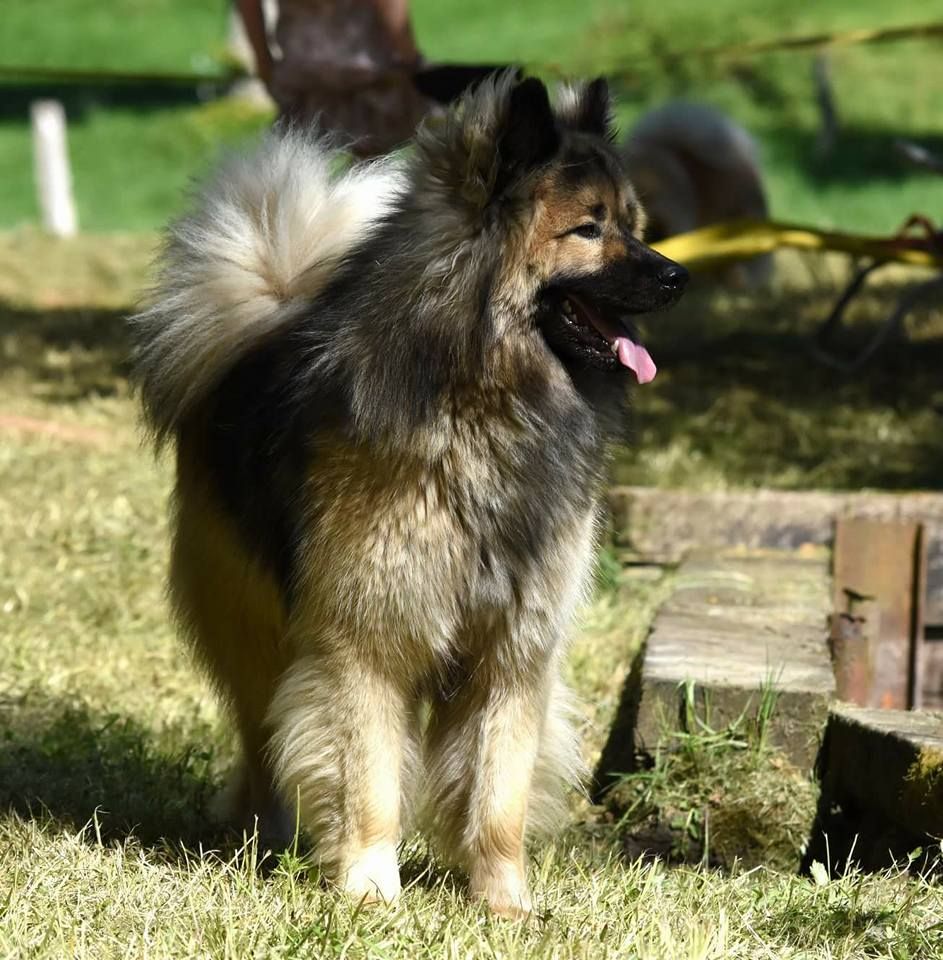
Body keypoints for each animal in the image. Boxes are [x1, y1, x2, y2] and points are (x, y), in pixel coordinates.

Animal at [129, 73, 684, 916]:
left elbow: (497, 793)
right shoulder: (367, 639)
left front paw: (504, 903)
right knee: (260, 737)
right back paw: (264, 838)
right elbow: (369, 783)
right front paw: (367, 891)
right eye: (588, 229)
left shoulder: (512, 651)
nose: (677, 274)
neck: (482, 401)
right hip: (253, 626)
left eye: (635, 226)